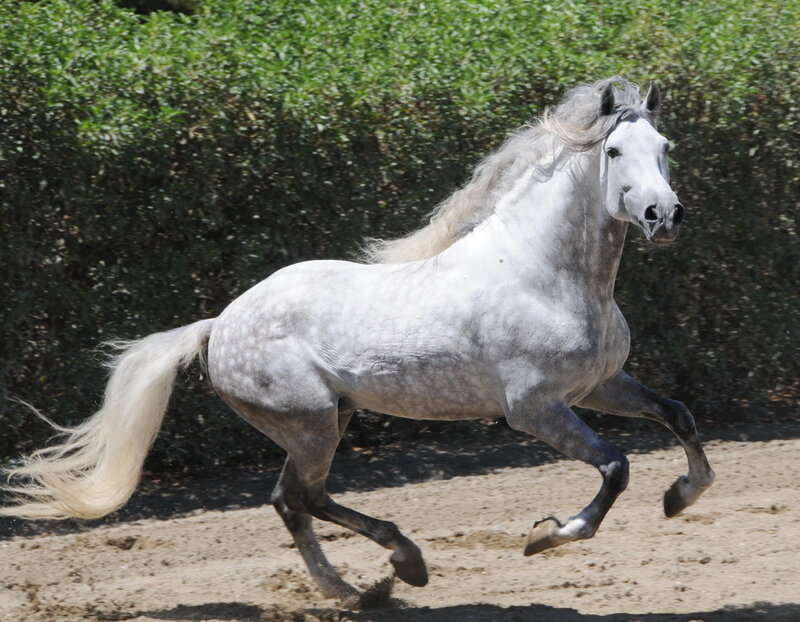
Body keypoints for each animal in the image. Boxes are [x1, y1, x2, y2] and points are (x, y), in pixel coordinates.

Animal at [1, 77, 715, 601]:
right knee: (304, 498)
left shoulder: (600, 385)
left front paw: (681, 496)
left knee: (290, 500)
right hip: (312, 421)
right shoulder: (535, 409)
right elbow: (615, 467)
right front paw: (548, 535)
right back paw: (385, 572)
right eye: (614, 153)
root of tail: (218, 325)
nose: (666, 216)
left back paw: (366, 583)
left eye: (667, 146)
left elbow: (677, 415)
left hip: (326, 418)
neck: (547, 274)